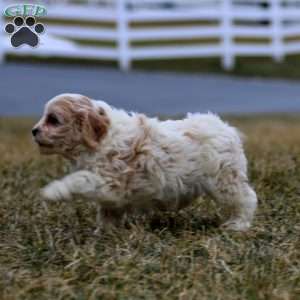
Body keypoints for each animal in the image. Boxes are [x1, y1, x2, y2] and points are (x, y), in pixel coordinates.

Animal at [32, 94, 258, 232]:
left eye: (53, 120)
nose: (34, 131)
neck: (101, 138)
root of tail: (225, 127)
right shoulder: (112, 196)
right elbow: (107, 213)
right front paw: (104, 231)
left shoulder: (110, 182)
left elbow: (78, 179)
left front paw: (53, 191)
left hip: (224, 180)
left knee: (246, 198)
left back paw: (239, 224)